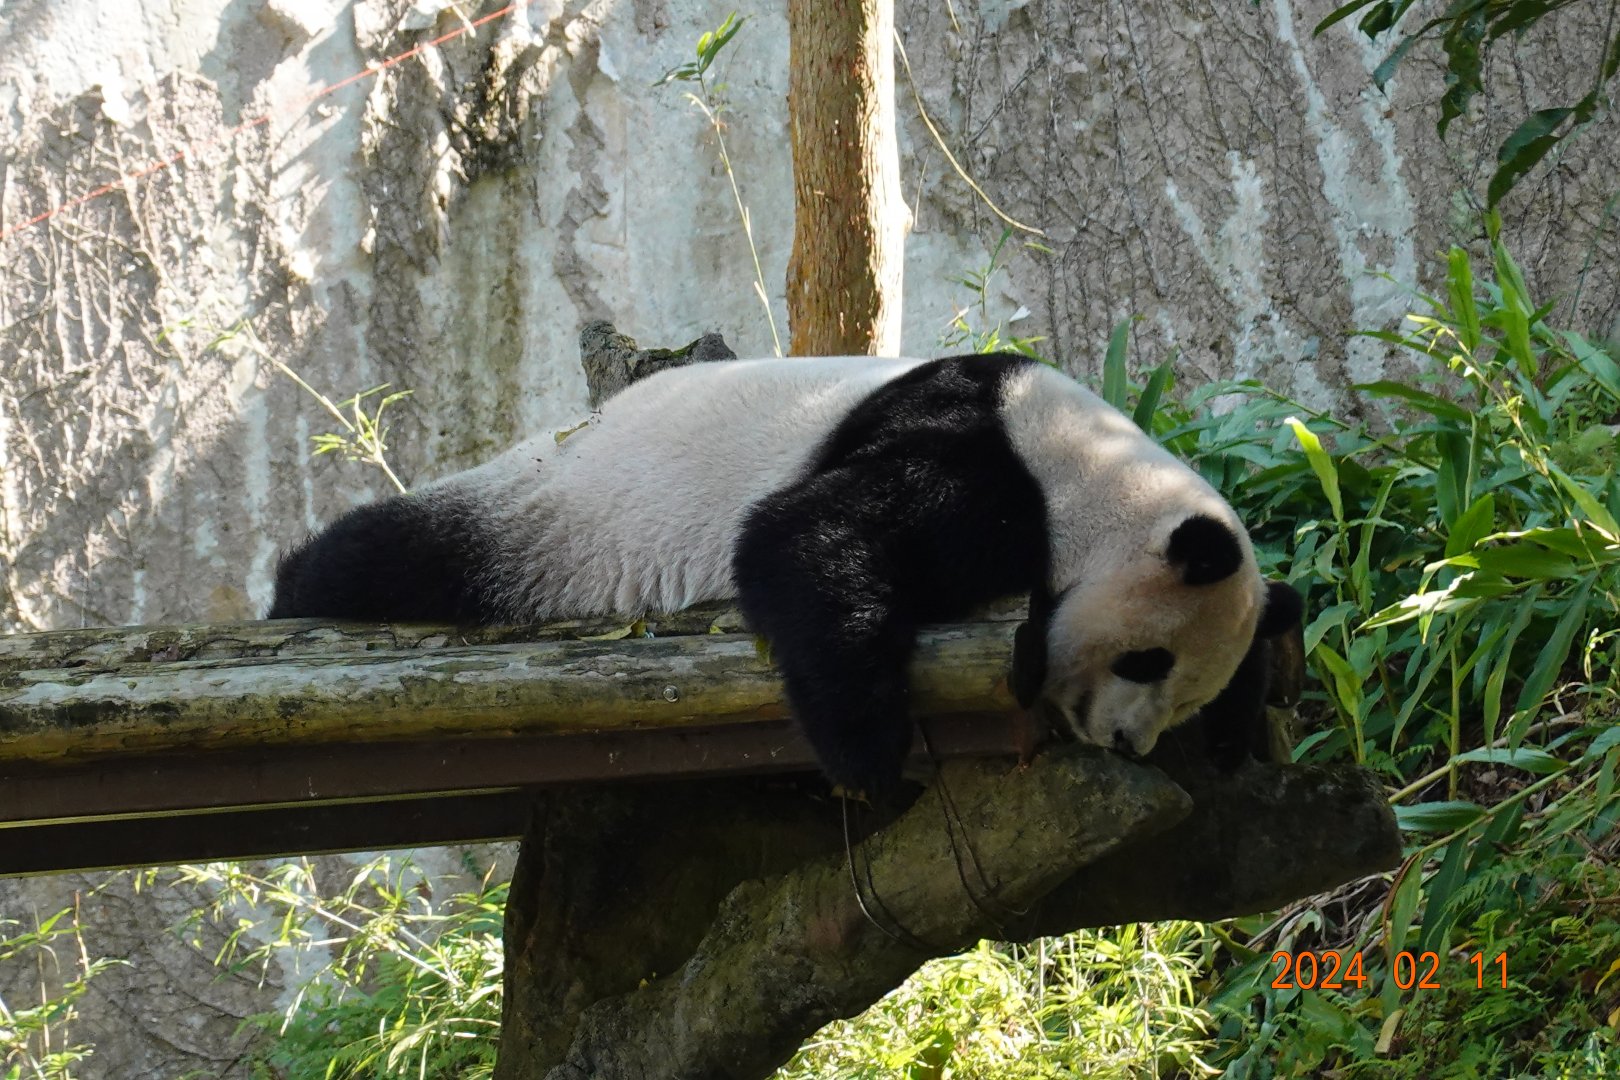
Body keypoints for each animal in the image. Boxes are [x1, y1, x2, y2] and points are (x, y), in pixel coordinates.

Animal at [269, 352, 1303, 799]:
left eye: (1181, 693)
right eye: (1145, 663)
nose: (1131, 742)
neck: (1091, 469)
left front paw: (1239, 724)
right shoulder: (989, 460)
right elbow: (801, 537)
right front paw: (874, 765)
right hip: (547, 512)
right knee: (383, 558)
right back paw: (291, 590)